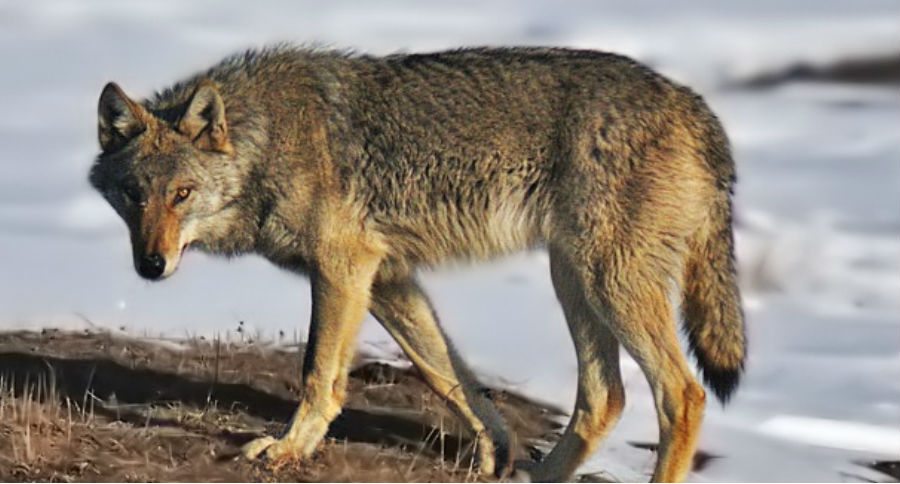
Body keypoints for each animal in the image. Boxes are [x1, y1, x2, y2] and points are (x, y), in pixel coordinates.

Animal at [89, 45, 746, 482]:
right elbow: (450, 378)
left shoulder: (342, 267)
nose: (151, 264)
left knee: (682, 393)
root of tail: (697, 108)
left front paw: (288, 449)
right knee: (604, 398)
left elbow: (318, 373)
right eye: (134, 196)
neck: (269, 140)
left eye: (182, 194)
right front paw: (496, 454)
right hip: (573, 281)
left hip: (606, 283)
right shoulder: (385, 278)